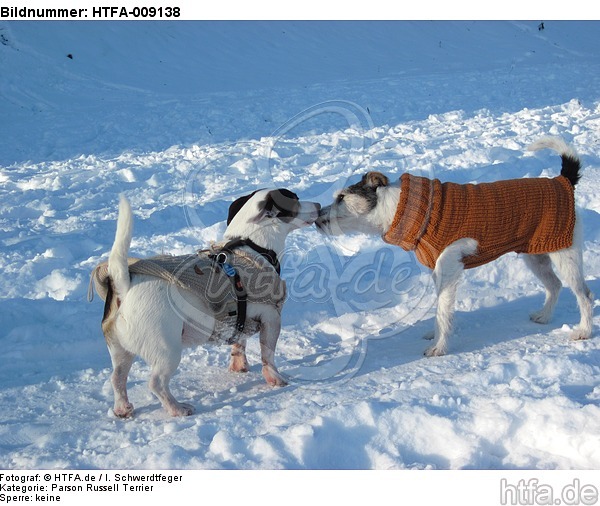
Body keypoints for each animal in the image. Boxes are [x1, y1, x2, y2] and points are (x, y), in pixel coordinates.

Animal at [92, 190, 322, 416]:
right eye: (295, 199)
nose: (319, 205)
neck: (252, 245)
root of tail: (124, 285)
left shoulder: (241, 319)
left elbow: (239, 343)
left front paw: (239, 365)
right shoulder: (272, 318)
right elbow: (269, 355)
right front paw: (276, 379)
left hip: (120, 350)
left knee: (117, 378)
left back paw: (123, 408)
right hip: (167, 351)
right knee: (156, 383)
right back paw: (177, 408)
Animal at [316, 135, 592, 356]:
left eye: (341, 197)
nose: (317, 216)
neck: (401, 208)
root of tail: (563, 181)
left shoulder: (448, 269)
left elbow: (442, 311)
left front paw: (438, 347)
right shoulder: (438, 273)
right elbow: (440, 309)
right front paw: (434, 334)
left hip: (564, 255)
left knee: (584, 294)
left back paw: (584, 331)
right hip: (536, 256)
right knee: (555, 286)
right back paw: (544, 316)